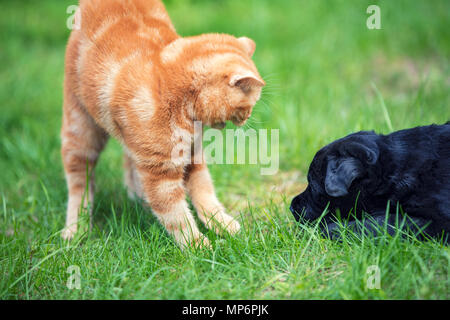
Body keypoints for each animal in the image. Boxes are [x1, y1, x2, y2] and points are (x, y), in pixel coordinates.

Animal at [59, 0, 264, 249]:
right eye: (247, 106)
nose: (246, 118)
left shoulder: (192, 157)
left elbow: (205, 193)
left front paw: (221, 223)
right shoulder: (160, 174)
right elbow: (178, 217)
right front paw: (200, 246)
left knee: (129, 164)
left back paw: (138, 201)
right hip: (81, 130)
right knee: (79, 183)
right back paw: (75, 229)